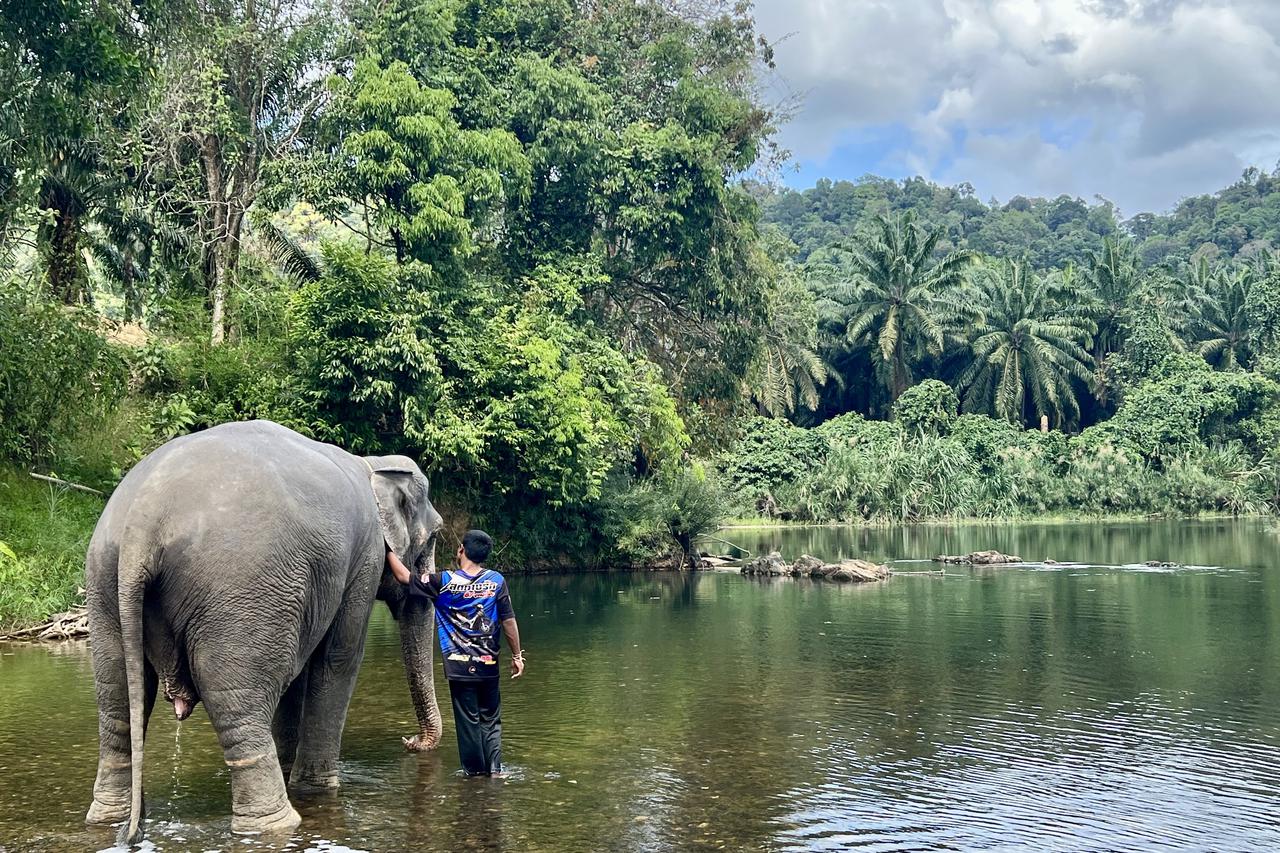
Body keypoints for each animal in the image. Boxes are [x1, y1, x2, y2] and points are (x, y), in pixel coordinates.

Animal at [83, 414, 445, 840]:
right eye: (435, 535)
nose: (410, 741)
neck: (372, 464)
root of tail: (144, 520)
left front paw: (294, 771)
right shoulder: (365, 560)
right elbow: (337, 659)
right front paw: (316, 788)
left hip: (105, 586)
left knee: (117, 700)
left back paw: (110, 819)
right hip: (239, 594)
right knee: (240, 701)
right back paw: (275, 823)